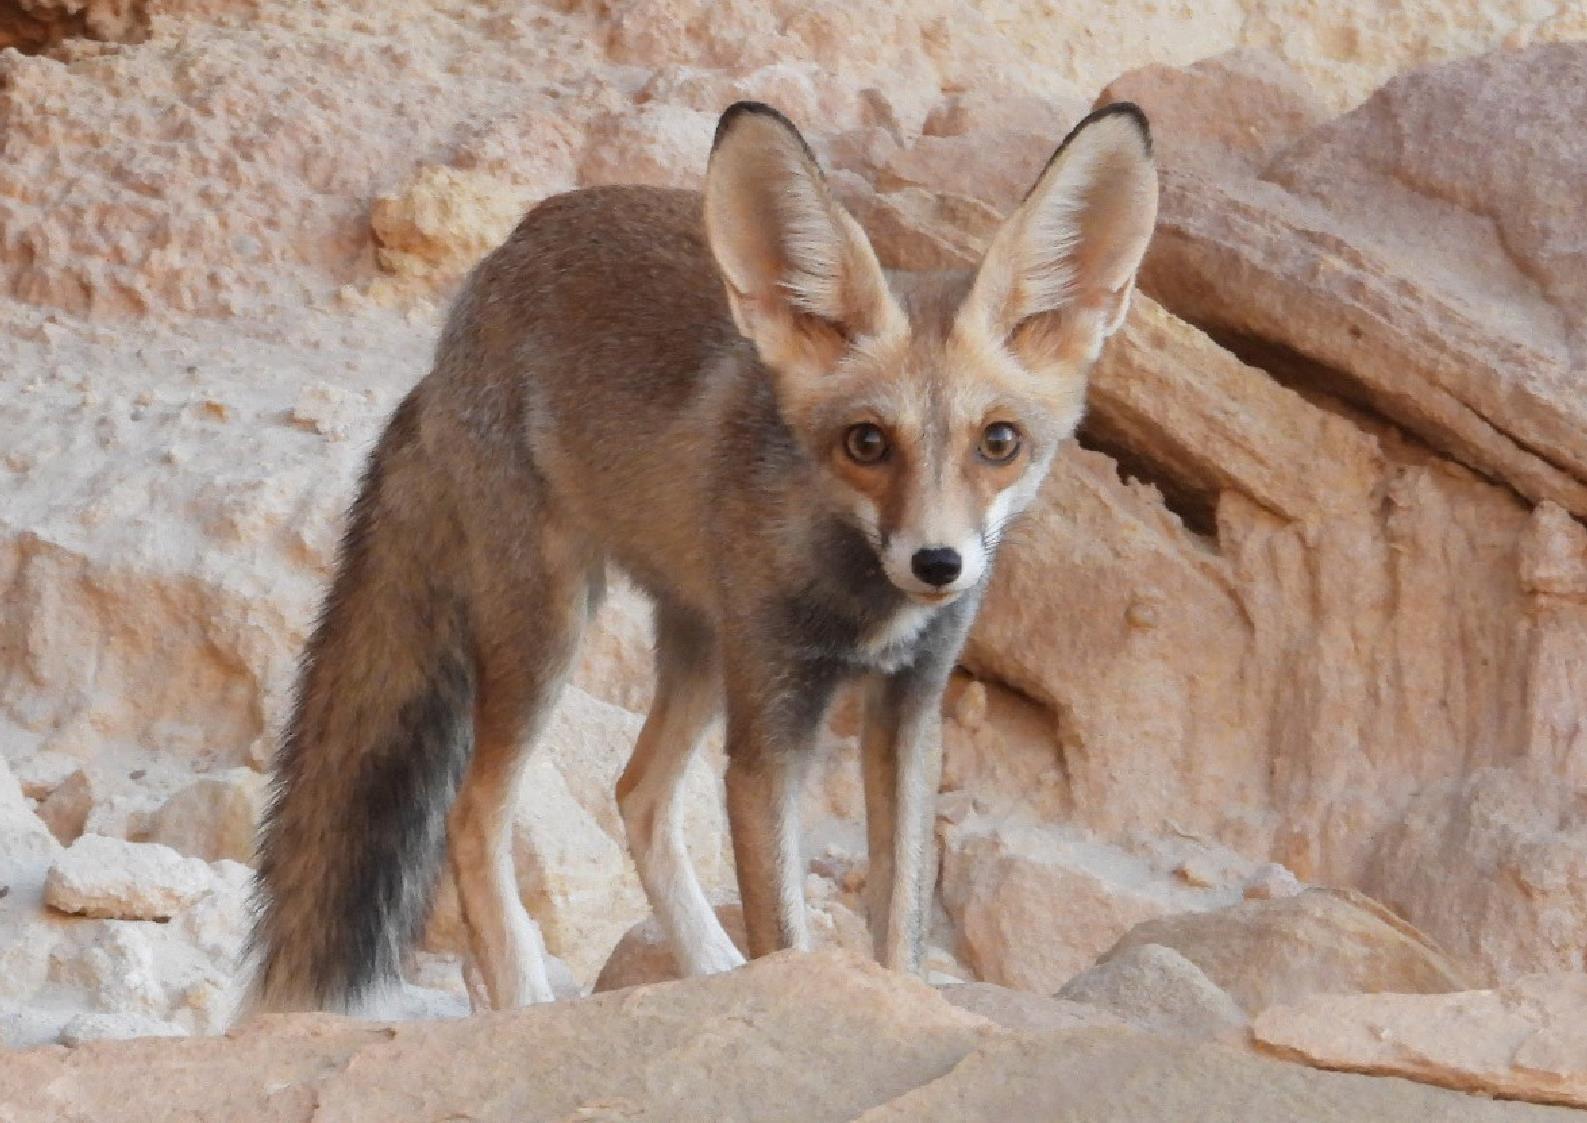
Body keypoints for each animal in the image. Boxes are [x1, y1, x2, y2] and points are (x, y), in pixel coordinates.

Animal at [246, 99, 1157, 1014]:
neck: (863, 604)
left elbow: (898, 927)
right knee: (473, 816)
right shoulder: (768, 736)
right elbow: (786, 934)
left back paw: (707, 965)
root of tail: (466, 310)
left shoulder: (909, 706)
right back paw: (525, 993)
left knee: (637, 793)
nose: (937, 564)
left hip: (702, 645)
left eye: (998, 443)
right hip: (552, 633)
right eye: (866, 443)